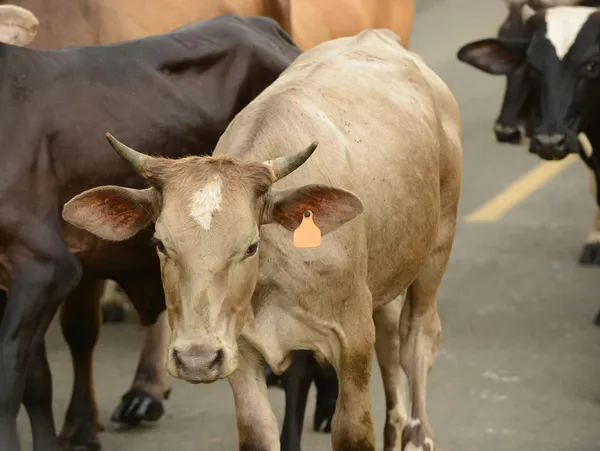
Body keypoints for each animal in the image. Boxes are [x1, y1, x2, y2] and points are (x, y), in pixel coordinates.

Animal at [63, 27, 462, 451]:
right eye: (159, 244)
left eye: (250, 245)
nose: (196, 359)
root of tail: (379, 37)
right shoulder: (238, 350)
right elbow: (258, 431)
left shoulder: (352, 342)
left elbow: (352, 431)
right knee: (390, 341)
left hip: (438, 246)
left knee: (417, 337)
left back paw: (417, 433)